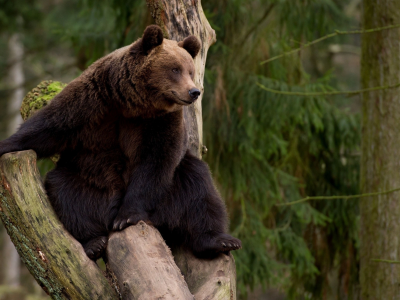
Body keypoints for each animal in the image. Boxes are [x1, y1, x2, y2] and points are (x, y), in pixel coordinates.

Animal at [0, 25, 241, 260]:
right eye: (175, 69)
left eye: (190, 71)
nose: (194, 91)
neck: (132, 104)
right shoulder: (93, 100)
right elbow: (49, 127)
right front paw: (6, 144)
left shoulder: (161, 122)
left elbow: (156, 160)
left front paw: (127, 216)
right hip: (88, 180)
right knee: (65, 192)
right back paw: (93, 242)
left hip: (172, 189)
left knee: (200, 191)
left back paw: (219, 240)